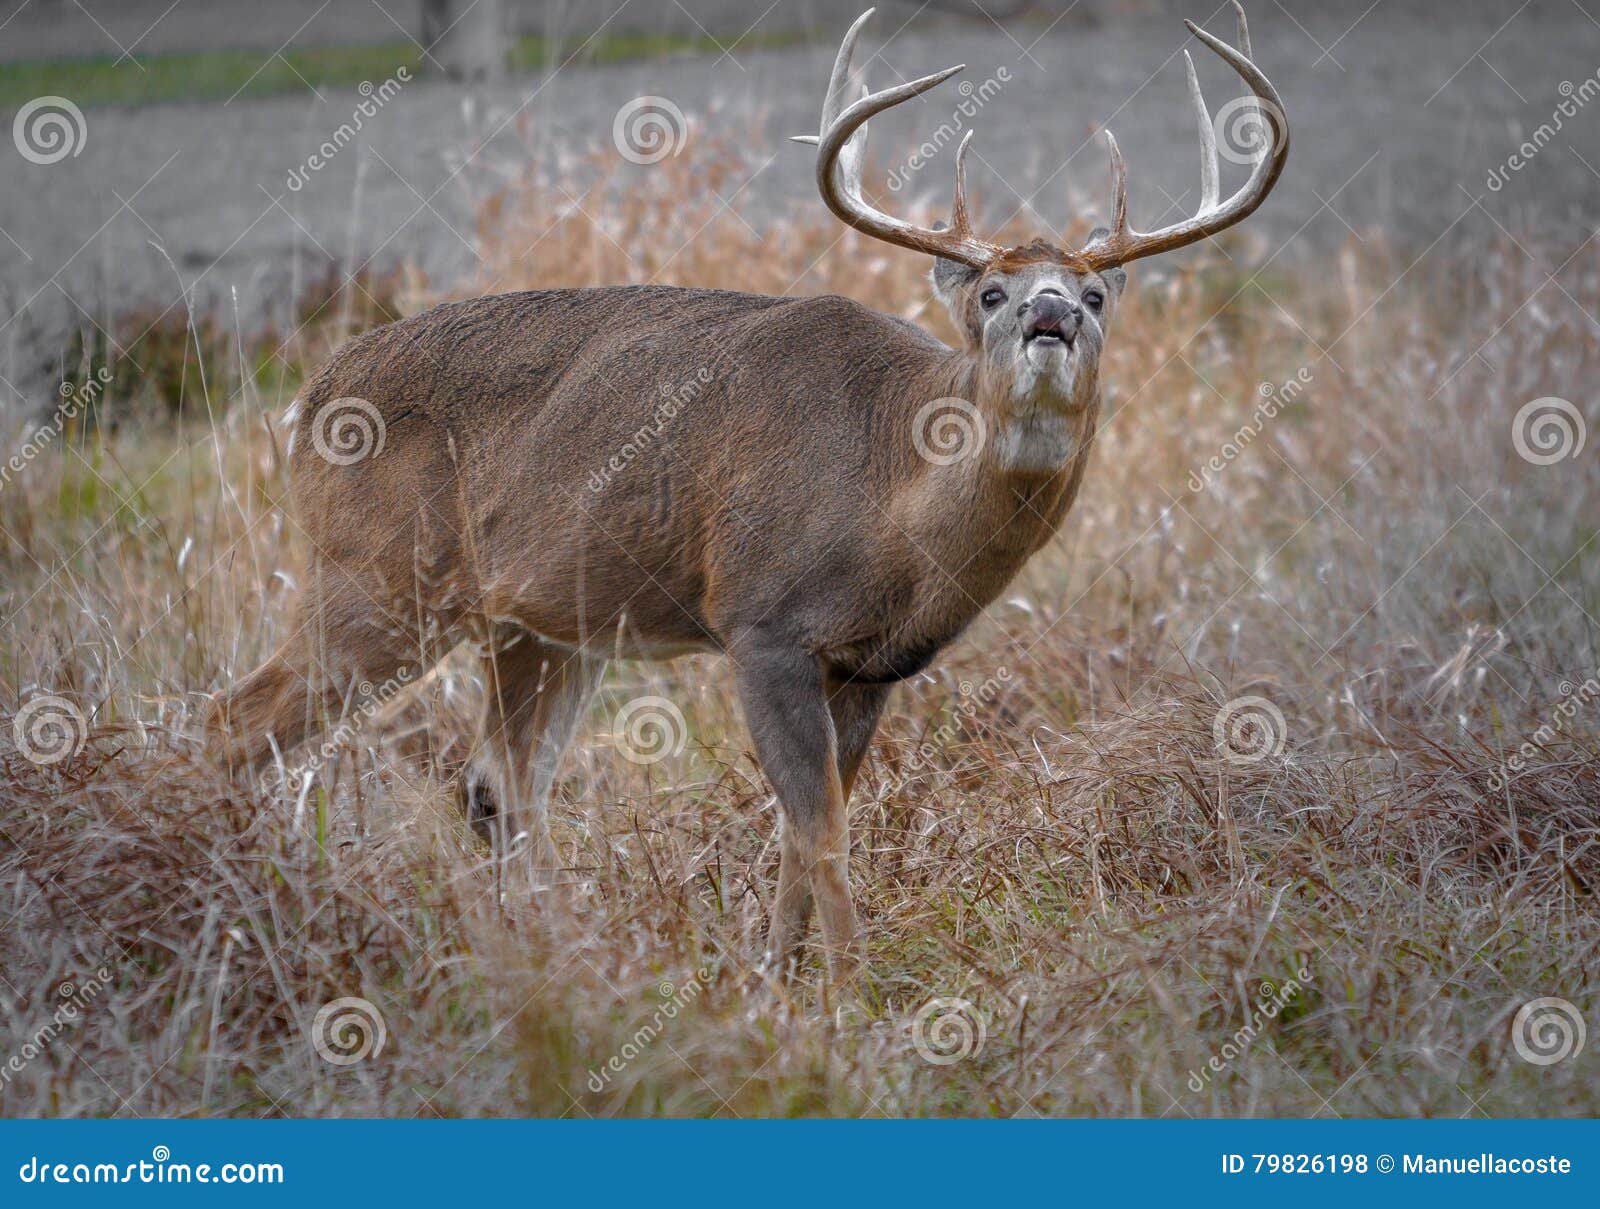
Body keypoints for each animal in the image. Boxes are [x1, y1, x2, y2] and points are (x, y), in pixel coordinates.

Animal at [208, 4, 1288, 987]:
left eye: (1097, 294)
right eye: (990, 293)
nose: (1052, 314)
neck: (896, 501)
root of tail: (306, 399)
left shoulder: (871, 669)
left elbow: (800, 834)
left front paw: (775, 980)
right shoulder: (763, 623)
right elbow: (820, 832)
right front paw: (851, 997)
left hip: (538, 623)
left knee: (497, 786)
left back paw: (548, 957)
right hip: (374, 579)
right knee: (233, 723)